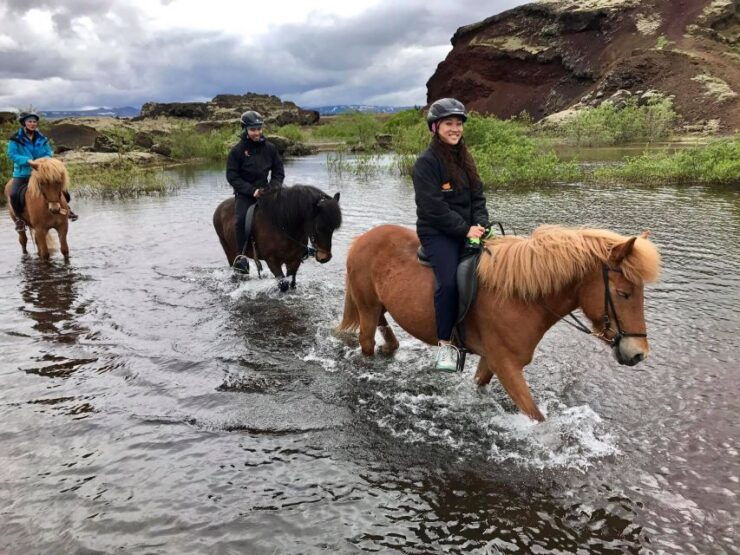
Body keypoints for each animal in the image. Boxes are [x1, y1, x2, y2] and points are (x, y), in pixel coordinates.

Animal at [213, 184, 342, 290]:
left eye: (333, 228)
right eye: (319, 227)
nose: (325, 257)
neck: (283, 226)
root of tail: (220, 208)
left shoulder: (294, 260)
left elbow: (292, 283)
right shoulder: (272, 261)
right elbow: (283, 285)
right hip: (228, 249)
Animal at [337, 224, 661, 422]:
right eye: (623, 293)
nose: (638, 353)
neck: (521, 298)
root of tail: (361, 240)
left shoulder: (492, 360)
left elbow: (480, 385)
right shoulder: (507, 365)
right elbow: (535, 416)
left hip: (377, 304)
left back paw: (391, 346)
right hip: (366, 306)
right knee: (366, 341)